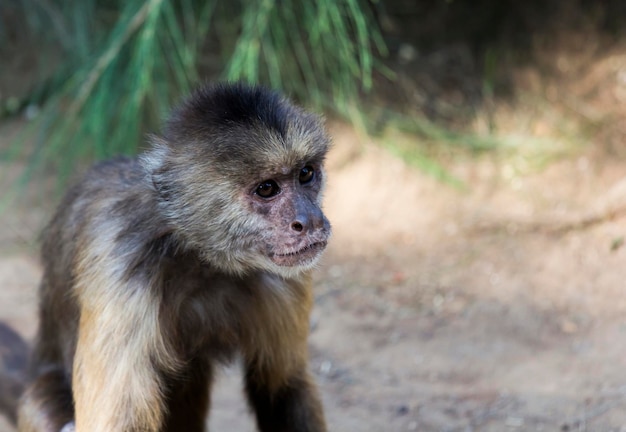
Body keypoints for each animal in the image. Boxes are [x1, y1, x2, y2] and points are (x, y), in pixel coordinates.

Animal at [3, 82, 332, 432]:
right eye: (267, 188)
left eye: (306, 173)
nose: (309, 220)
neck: (201, 258)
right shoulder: (121, 271)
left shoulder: (285, 275)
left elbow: (284, 385)